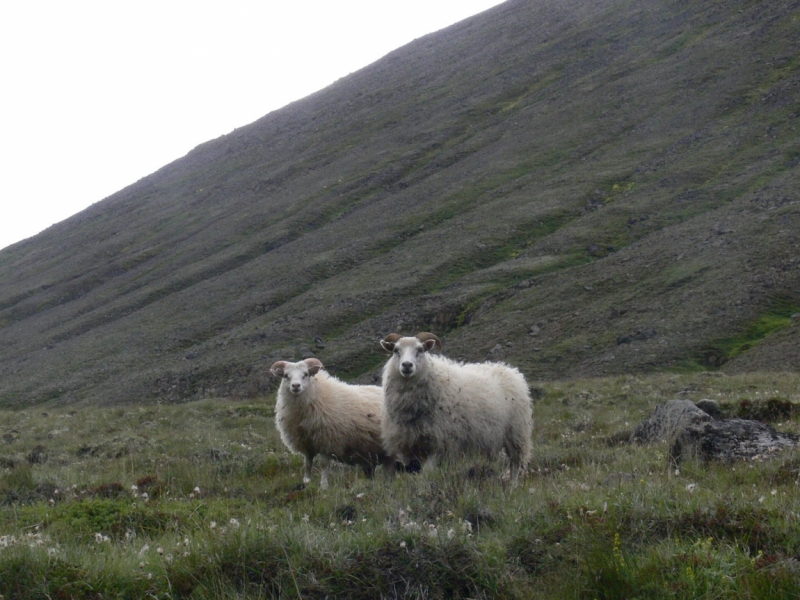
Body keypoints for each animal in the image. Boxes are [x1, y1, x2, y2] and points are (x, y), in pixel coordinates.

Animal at [268, 356, 394, 488]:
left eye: (306, 374)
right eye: (286, 375)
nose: (296, 386)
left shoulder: (327, 440)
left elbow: (324, 464)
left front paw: (324, 485)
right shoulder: (307, 443)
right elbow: (307, 464)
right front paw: (306, 481)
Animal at [380, 330, 532, 486]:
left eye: (420, 350)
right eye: (396, 350)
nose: (406, 365)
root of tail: (511, 370)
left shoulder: (440, 443)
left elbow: (427, 472)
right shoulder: (414, 445)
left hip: (516, 432)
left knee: (515, 463)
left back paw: (512, 486)